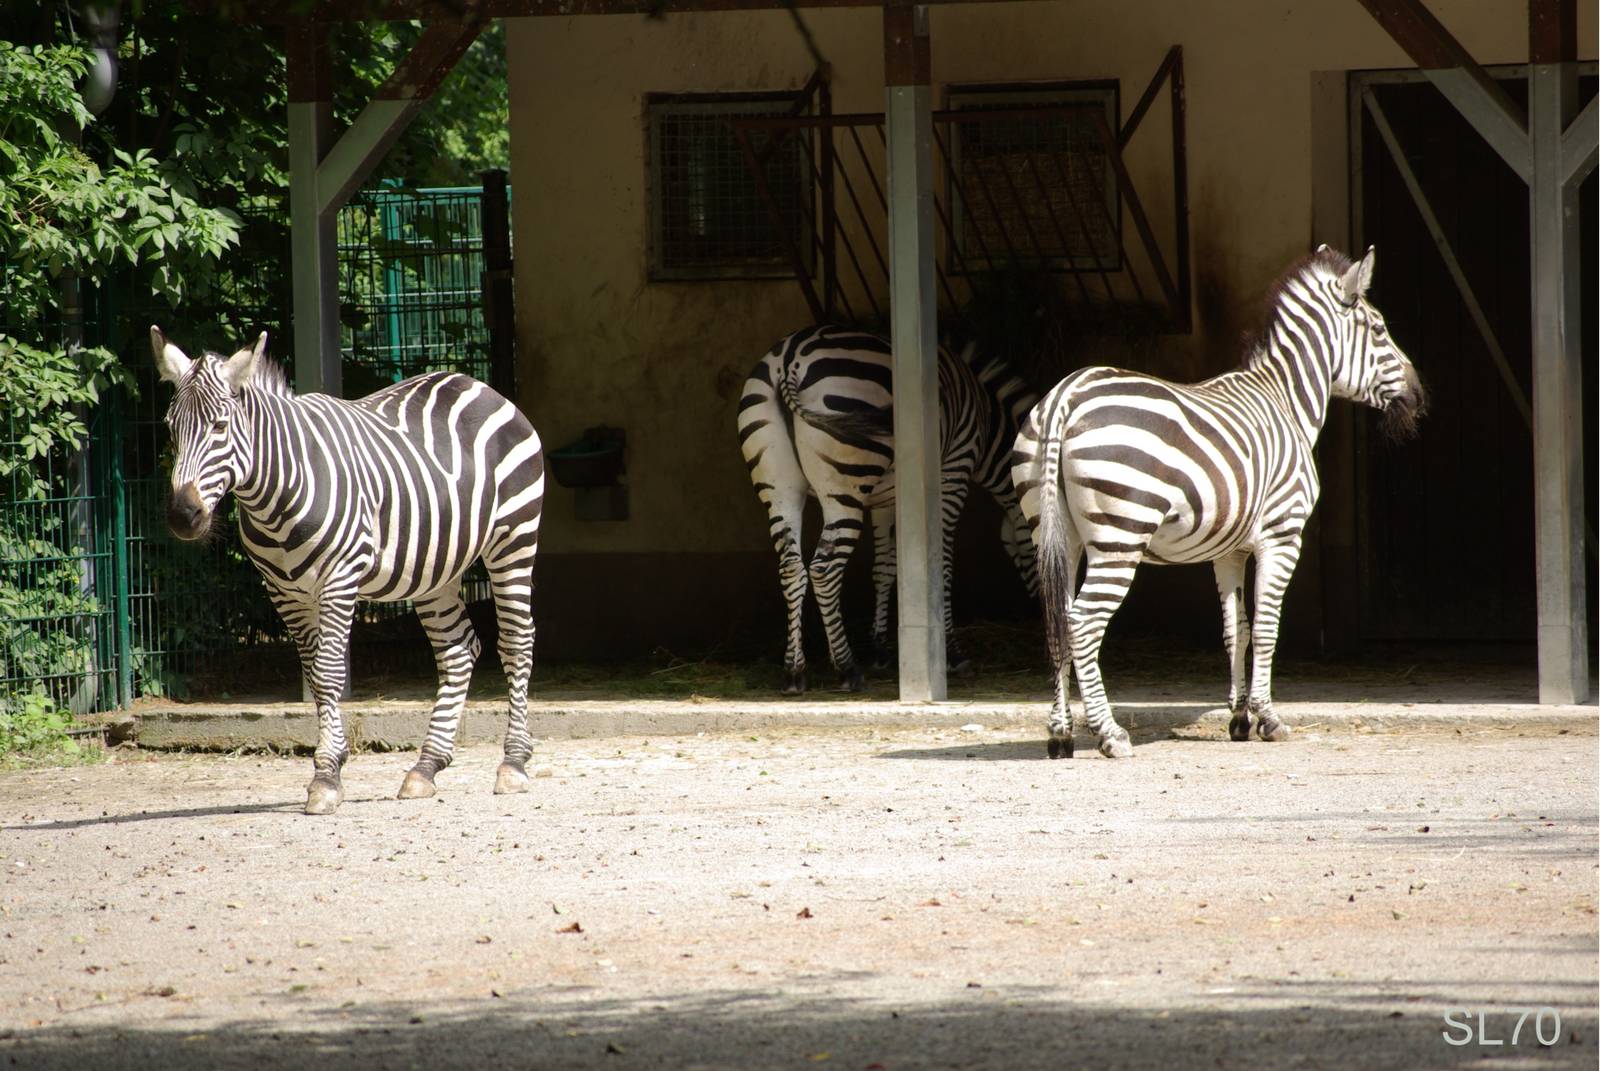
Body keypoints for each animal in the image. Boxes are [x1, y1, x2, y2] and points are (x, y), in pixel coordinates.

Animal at [151, 327, 545, 814]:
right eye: (171, 428)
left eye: (220, 426)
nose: (182, 517)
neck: (275, 494)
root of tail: (473, 383)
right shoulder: (283, 592)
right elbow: (315, 676)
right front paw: (331, 767)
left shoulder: (339, 578)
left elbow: (330, 671)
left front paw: (326, 777)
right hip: (435, 567)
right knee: (457, 650)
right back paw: (425, 767)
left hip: (514, 539)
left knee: (516, 642)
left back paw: (514, 763)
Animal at [737, 323, 1038, 693]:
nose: (1039, 612)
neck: (984, 417)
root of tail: (790, 357)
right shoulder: (953, 473)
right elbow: (941, 565)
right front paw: (952, 654)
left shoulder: (885, 499)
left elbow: (885, 566)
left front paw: (880, 648)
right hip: (844, 486)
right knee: (823, 569)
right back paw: (847, 669)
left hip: (779, 486)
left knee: (792, 567)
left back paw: (794, 672)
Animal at [1010, 246, 1425, 758]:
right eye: (1380, 329)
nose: (1418, 394)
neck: (1286, 401)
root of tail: (1064, 396)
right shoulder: (1282, 536)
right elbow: (1266, 627)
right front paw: (1268, 718)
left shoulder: (1229, 550)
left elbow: (1236, 629)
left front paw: (1239, 717)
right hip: (1119, 537)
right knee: (1082, 621)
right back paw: (1110, 734)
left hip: (1054, 534)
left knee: (1056, 622)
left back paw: (1060, 733)